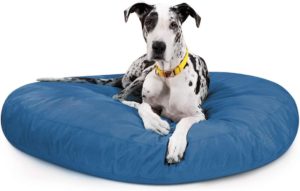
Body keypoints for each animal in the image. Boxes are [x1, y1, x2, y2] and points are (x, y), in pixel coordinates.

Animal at [38, 2, 210, 164]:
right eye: (149, 22)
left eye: (173, 25)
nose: (158, 46)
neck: (167, 76)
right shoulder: (146, 102)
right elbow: (143, 106)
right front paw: (155, 122)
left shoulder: (199, 114)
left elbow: (184, 122)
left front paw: (176, 145)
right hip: (139, 78)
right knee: (120, 98)